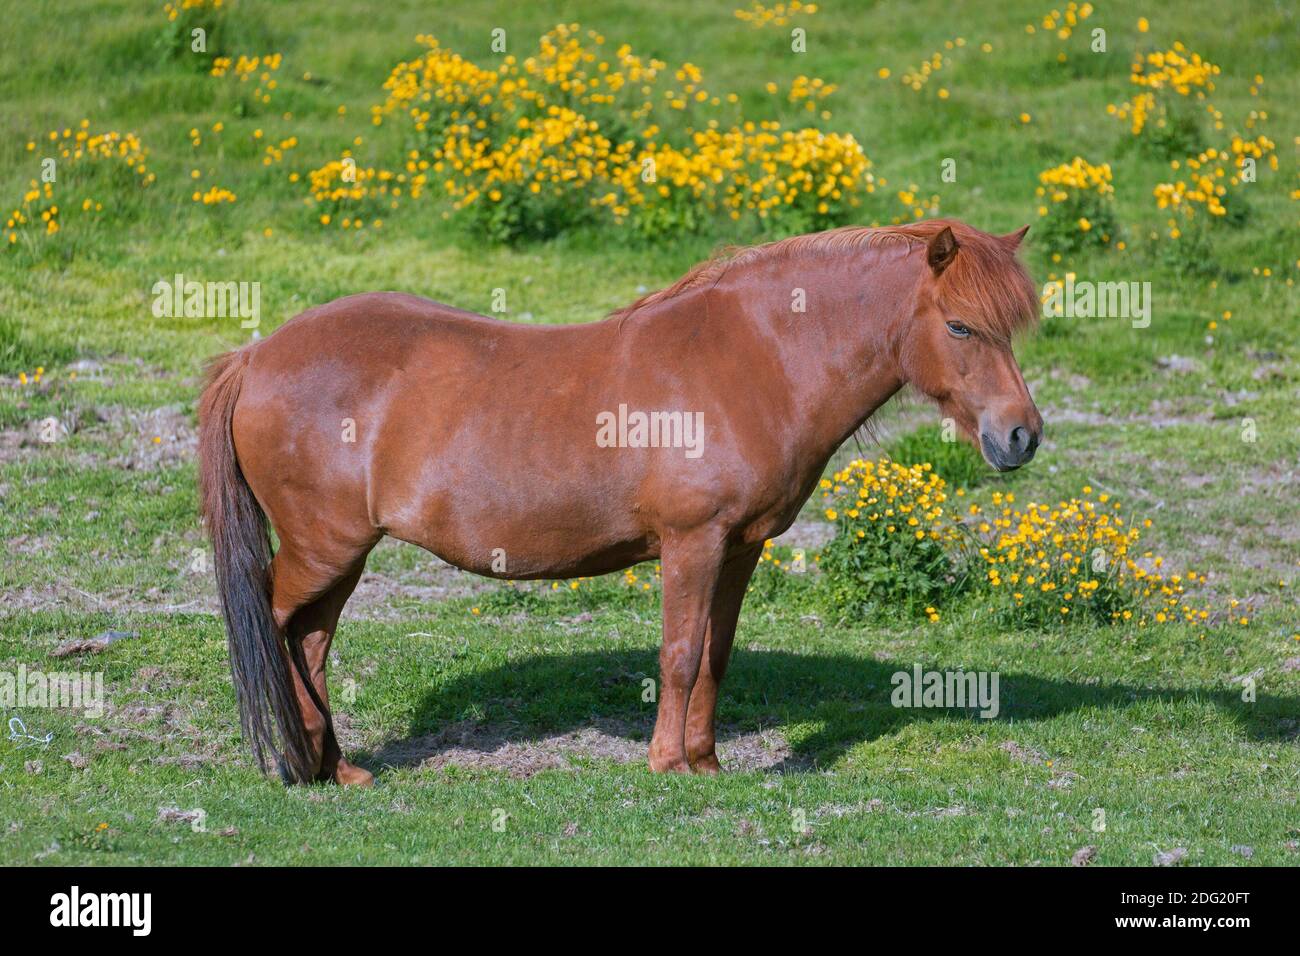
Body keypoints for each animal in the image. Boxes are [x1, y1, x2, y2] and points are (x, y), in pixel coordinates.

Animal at [197, 218, 1043, 786]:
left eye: (1010, 328)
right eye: (960, 325)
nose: (1021, 436)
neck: (755, 358)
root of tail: (257, 356)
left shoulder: (741, 547)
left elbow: (716, 655)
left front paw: (705, 761)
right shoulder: (693, 542)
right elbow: (679, 653)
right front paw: (667, 764)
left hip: (339, 558)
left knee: (309, 642)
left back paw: (334, 768)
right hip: (323, 549)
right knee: (273, 626)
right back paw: (296, 761)